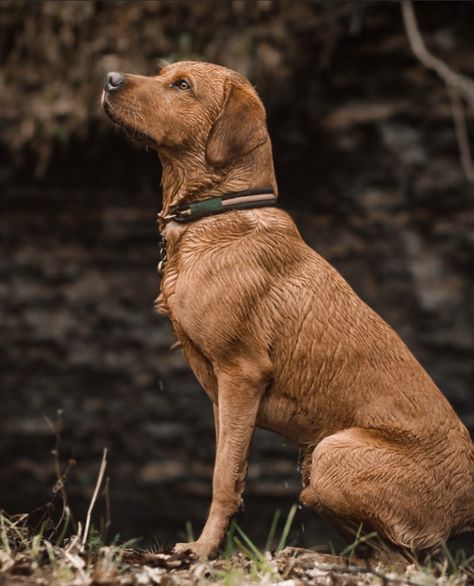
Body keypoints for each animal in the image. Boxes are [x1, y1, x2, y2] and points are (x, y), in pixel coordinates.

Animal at [103, 61, 474, 560]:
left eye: (182, 85)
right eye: (164, 72)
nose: (109, 78)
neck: (216, 216)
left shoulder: (242, 372)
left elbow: (222, 478)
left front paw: (202, 549)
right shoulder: (222, 394)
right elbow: (230, 467)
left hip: (331, 454)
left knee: (406, 560)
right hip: (313, 460)